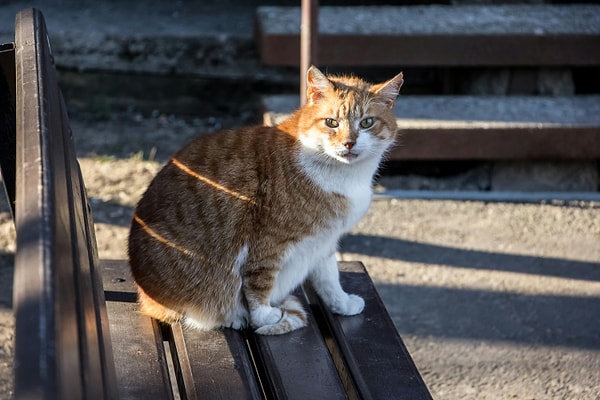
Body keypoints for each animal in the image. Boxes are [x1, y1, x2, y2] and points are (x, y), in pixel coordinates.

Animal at [129, 66, 406, 334]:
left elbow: (329, 277)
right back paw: (234, 318)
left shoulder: (323, 240)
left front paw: (342, 303)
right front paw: (264, 316)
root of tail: (144, 295)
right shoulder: (269, 240)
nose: (349, 143)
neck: (341, 174)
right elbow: (260, 280)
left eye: (367, 122)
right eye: (332, 122)